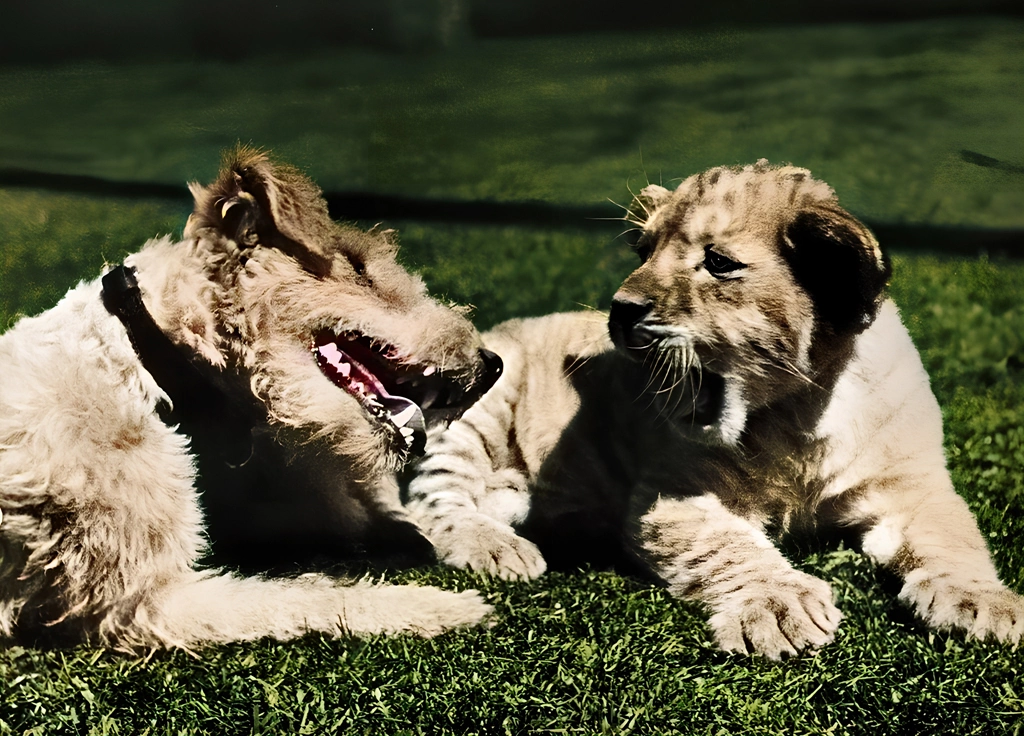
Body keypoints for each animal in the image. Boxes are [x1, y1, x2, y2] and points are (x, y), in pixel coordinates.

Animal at [0, 145, 503, 651]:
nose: (493, 365)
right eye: (358, 267)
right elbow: (311, 598)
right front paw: (448, 606)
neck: (149, 368)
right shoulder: (142, 601)